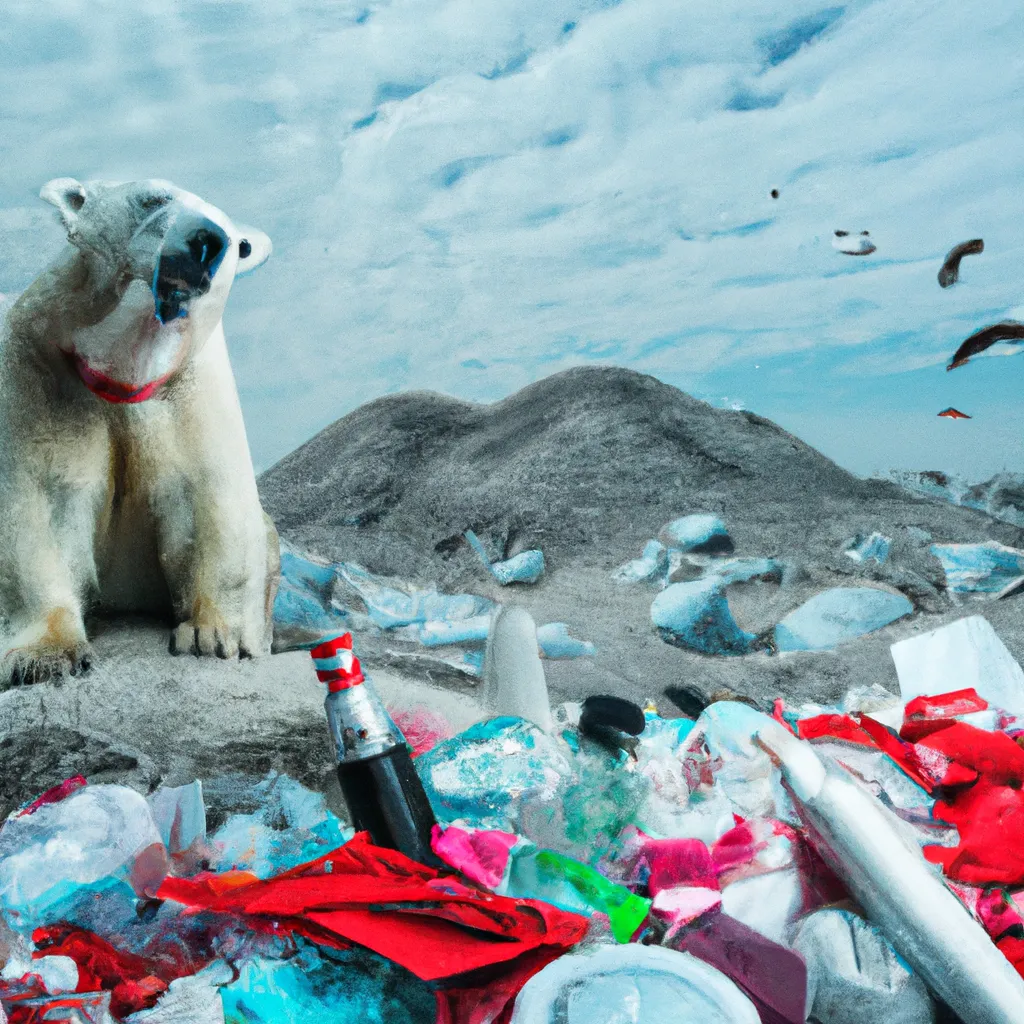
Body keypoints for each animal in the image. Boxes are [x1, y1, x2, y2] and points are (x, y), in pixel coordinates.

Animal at [0, 179, 280, 684]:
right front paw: (45, 657)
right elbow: (39, 503)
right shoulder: (38, 372)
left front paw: (214, 636)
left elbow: (210, 499)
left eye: (236, 241)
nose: (207, 240)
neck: (123, 371)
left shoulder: (190, 389)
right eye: (153, 199)